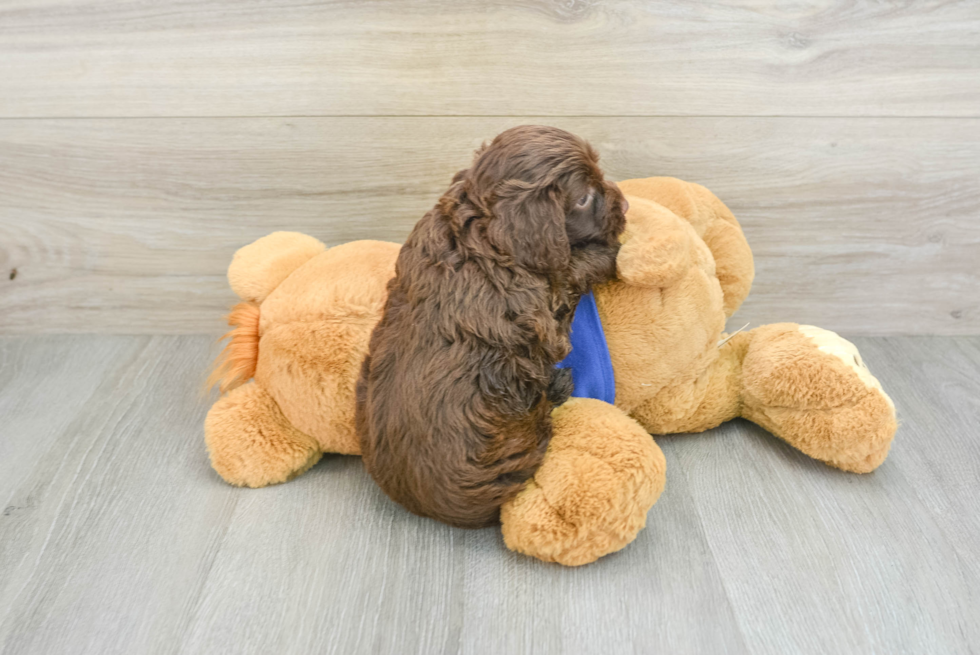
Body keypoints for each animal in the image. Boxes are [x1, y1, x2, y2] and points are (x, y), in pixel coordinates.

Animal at [356, 125, 624, 532]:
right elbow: (571, 269)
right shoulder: (543, 313)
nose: (625, 205)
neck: (481, 228)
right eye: (583, 198)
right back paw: (557, 387)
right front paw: (608, 252)